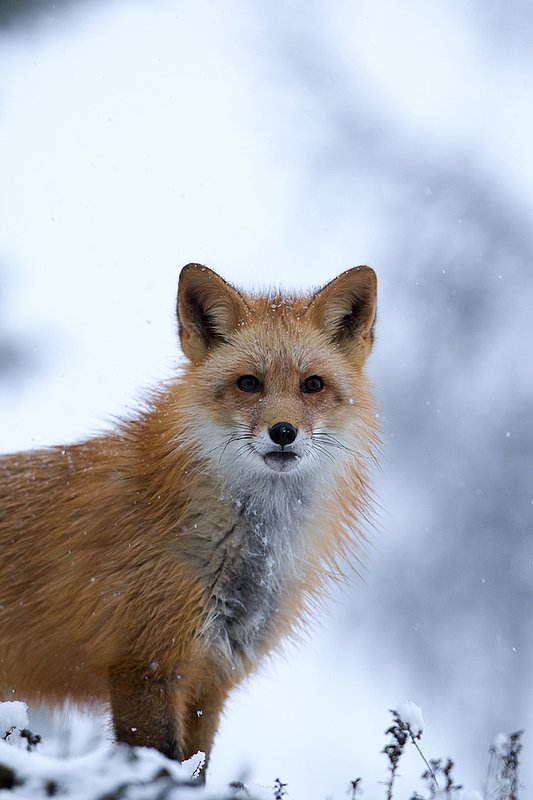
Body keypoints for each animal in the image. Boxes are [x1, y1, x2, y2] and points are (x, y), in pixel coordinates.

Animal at [0, 263, 378, 774]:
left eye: (313, 385)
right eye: (249, 383)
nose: (283, 432)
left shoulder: (212, 679)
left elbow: (195, 768)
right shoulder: (146, 668)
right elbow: (160, 764)